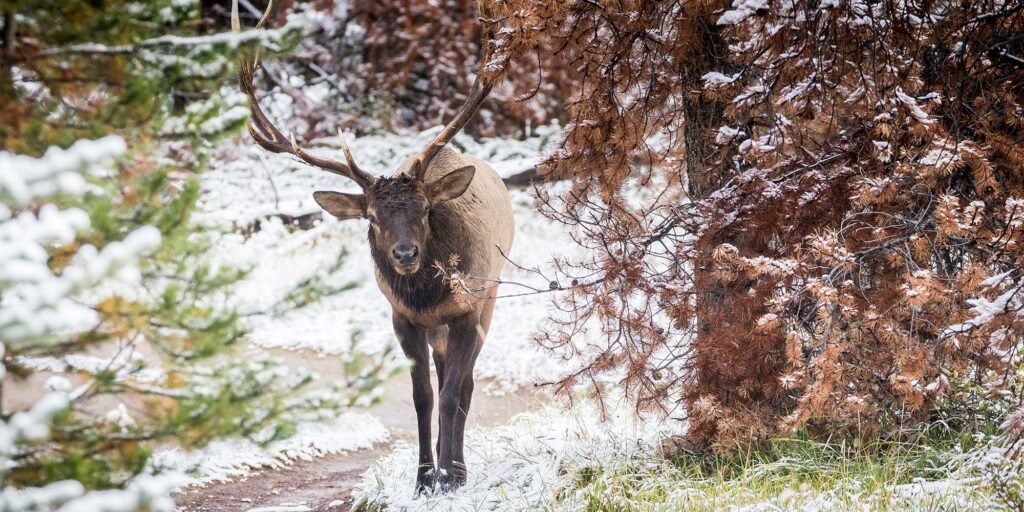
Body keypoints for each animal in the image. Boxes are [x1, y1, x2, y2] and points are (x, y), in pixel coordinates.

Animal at [234, 0, 516, 491]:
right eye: (371, 216)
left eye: (425, 209)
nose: (404, 255)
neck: (428, 297)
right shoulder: (401, 318)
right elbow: (423, 396)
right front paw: (423, 478)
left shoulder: (468, 309)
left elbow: (452, 393)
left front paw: (449, 476)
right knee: (445, 375)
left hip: (492, 296)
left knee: (465, 384)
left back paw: (459, 467)